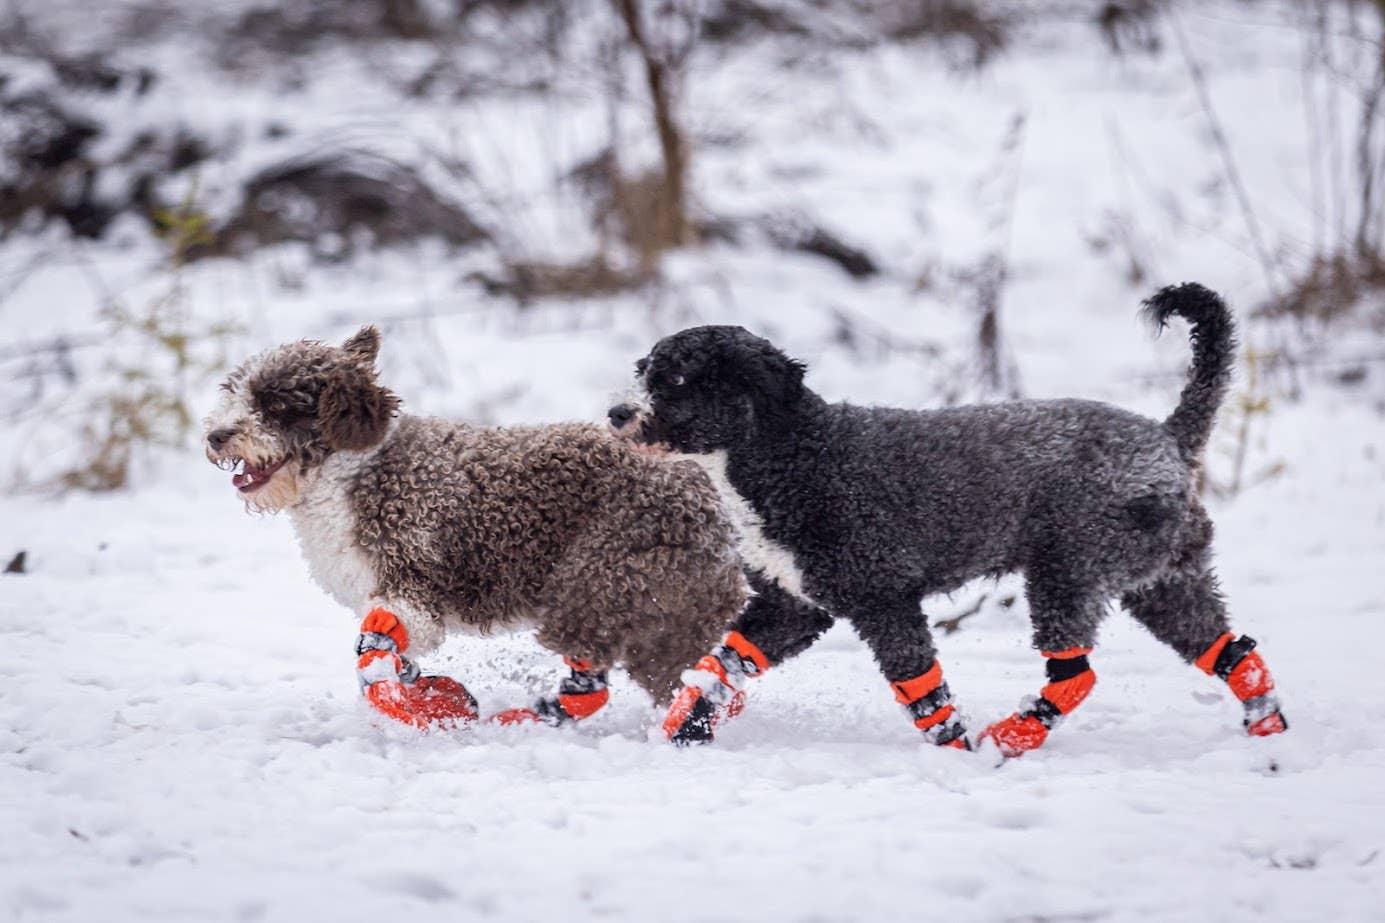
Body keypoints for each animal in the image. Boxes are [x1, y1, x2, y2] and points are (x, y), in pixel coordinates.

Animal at [203, 322, 747, 726]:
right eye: (234, 392)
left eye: (277, 404)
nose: (215, 436)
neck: (350, 470)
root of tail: (704, 491)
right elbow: (392, 659)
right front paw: (433, 693)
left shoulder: (410, 588)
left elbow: (371, 654)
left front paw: (421, 706)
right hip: (649, 607)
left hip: (600, 581)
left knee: (633, 680)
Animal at [614, 284, 1285, 753]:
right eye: (643, 370)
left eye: (677, 379)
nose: (617, 412)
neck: (796, 455)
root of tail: (1168, 438)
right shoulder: (792, 605)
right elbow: (716, 668)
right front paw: (683, 730)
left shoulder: (883, 600)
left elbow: (925, 695)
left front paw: (954, 752)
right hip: (1166, 582)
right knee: (1233, 653)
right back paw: (1267, 733)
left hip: (1068, 571)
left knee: (1076, 675)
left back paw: (1009, 738)